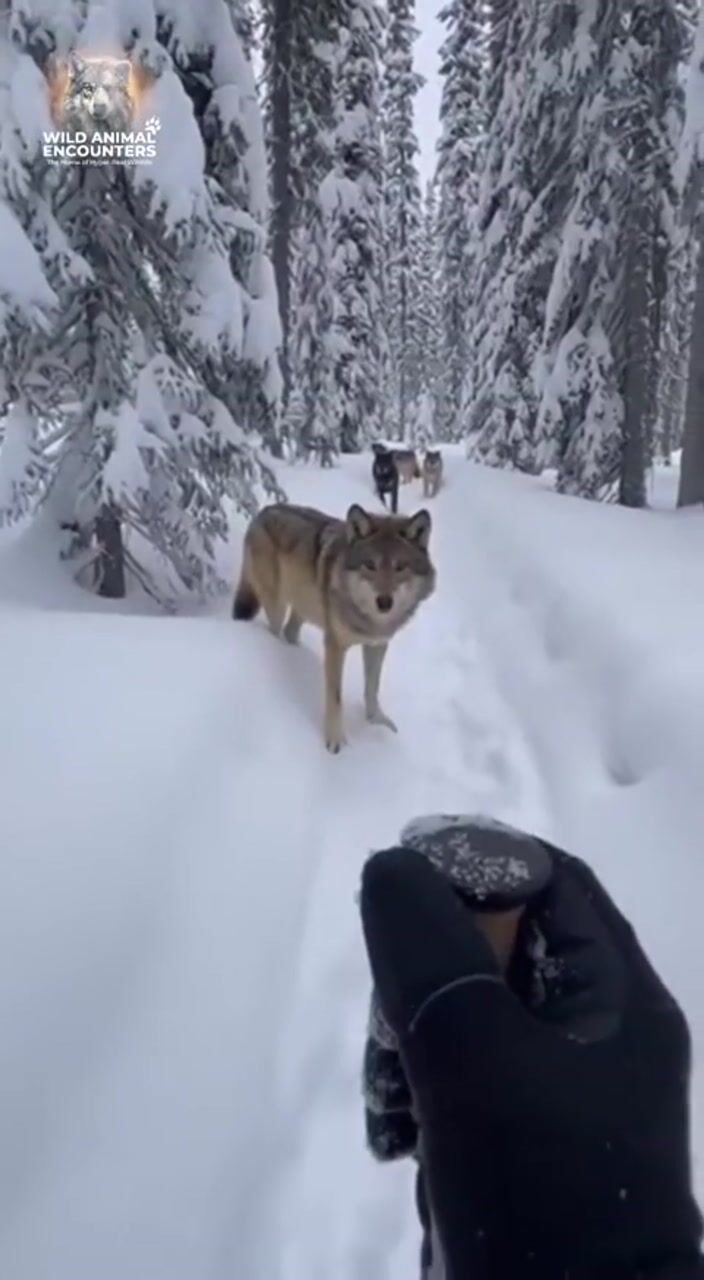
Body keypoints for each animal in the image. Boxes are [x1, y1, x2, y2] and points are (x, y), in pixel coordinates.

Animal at [232, 503, 435, 753]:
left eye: (400, 567)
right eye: (370, 565)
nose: (384, 602)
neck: (368, 620)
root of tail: (262, 512)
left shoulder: (377, 644)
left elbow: (372, 688)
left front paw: (377, 722)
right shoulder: (335, 645)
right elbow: (335, 697)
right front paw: (335, 741)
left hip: (304, 608)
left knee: (290, 632)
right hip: (276, 605)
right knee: (276, 630)